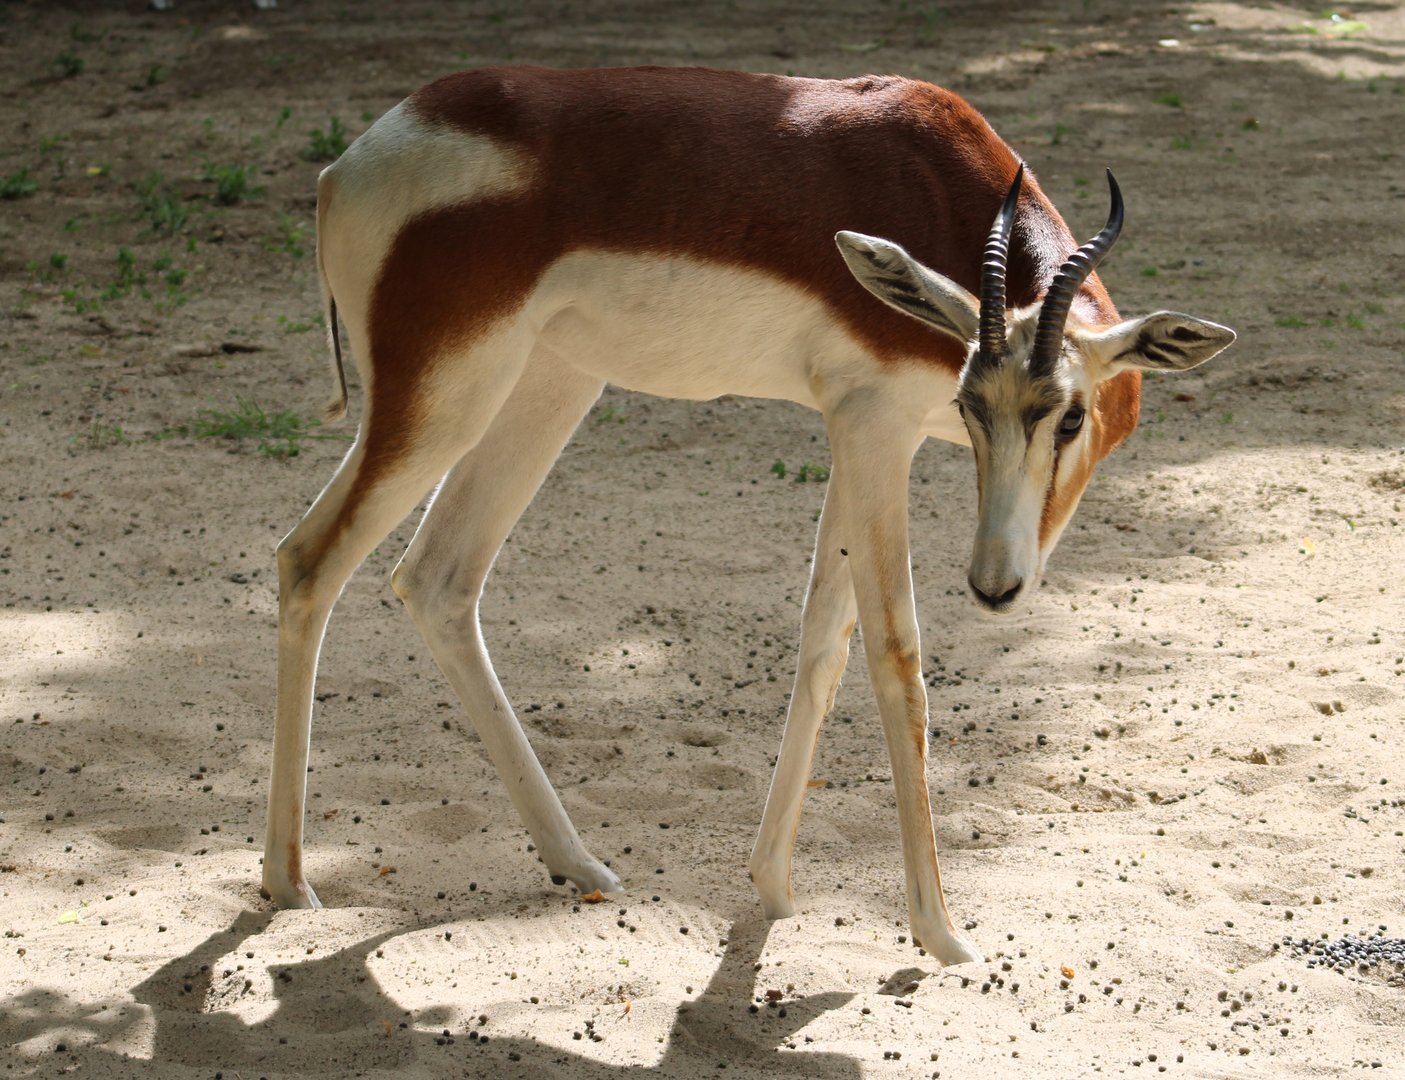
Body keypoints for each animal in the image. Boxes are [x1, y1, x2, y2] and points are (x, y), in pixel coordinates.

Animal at [262, 65, 1234, 967]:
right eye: (971, 407)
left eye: (1067, 415)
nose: (996, 585)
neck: (937, 190)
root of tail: (346, 166)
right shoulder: (875, 425)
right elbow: (895, 656)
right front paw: (941, 935)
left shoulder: (858, 433)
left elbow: (822, 639)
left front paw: (772, 886)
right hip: (443, 399)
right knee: (309, 560)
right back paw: (288, 881)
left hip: (545, 387)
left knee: (436, 578)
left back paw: (578, 864)